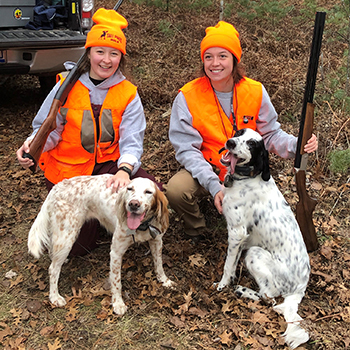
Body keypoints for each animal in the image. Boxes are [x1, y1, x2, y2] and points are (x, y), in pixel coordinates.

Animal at [28, 176, 175, 316]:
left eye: (148, 192)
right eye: (130, 189)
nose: (133, 204)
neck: (142, 226)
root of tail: (57, 187)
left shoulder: (157, 242)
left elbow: (159, 264)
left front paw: (164, 280)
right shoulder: (116, 252)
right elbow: (116, 281)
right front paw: (118, 304)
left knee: (52, 252)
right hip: (67, 237)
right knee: (53, 269)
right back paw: (54, 297)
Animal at [217, 129, 310, 350]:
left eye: (251, 144)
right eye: (239, 132)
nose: (230, 142)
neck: (246, 179)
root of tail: (301, 288)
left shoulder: (236, 231)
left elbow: (227, 266)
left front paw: (223, 284)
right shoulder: (242, 239)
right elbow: (233, 263)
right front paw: (231, 278)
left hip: (255, 254)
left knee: (269, 296)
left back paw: (243, 291)